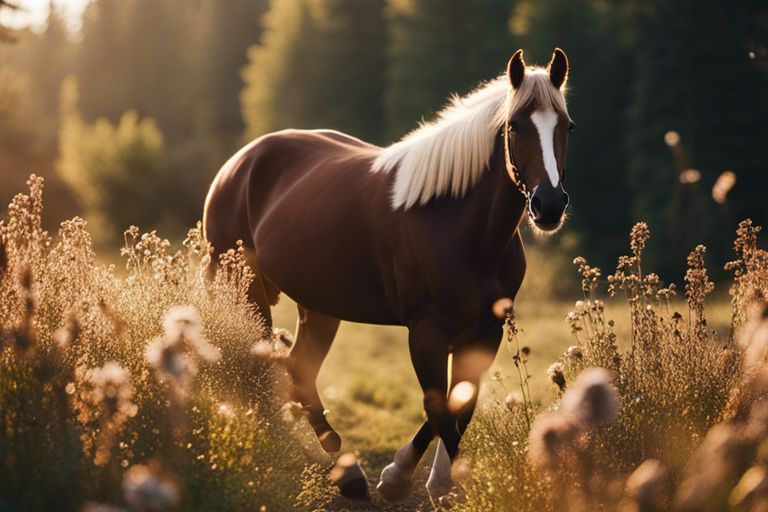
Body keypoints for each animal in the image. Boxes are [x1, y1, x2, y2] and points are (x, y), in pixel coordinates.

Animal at [203, 48, 573, 501]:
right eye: (515, 125)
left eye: (567, 126)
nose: (549, 204)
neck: (457, 223)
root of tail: (236, 165)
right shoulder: (426, 332)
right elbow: (439, 407)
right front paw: (432, 483)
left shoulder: (485, 331)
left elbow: (460, 405)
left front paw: (418, 479)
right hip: (247, 294)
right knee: (260, 371)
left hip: (320, 307)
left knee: (299, 369)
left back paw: (346, 471)